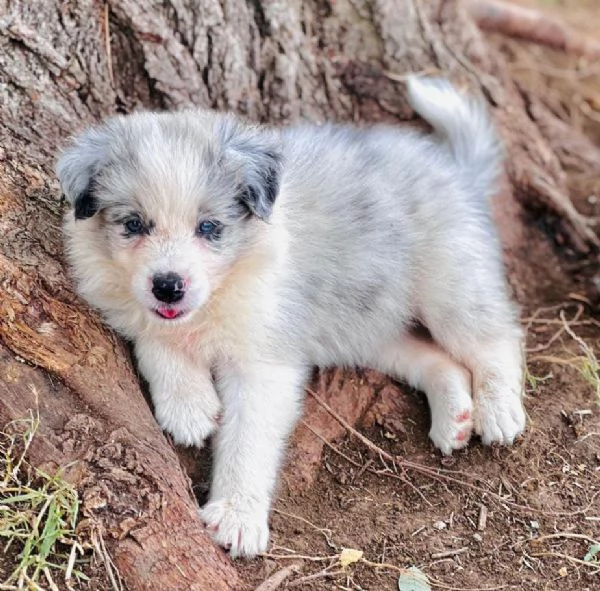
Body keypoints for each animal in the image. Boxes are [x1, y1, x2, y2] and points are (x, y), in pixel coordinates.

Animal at [56, 78, 524, 560]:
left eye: (209, 227)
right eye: (133, 224)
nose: (168, 287)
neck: (218, 296)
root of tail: (456, 171)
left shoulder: (265, 364)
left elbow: (247, 441)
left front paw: (237, 517)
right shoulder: (127, 302)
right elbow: (154, 338)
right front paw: (189, 407)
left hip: (448, 288)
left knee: (497, 338)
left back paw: (499, 412)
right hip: (365, 327)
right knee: (440, 360)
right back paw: (455, 418)